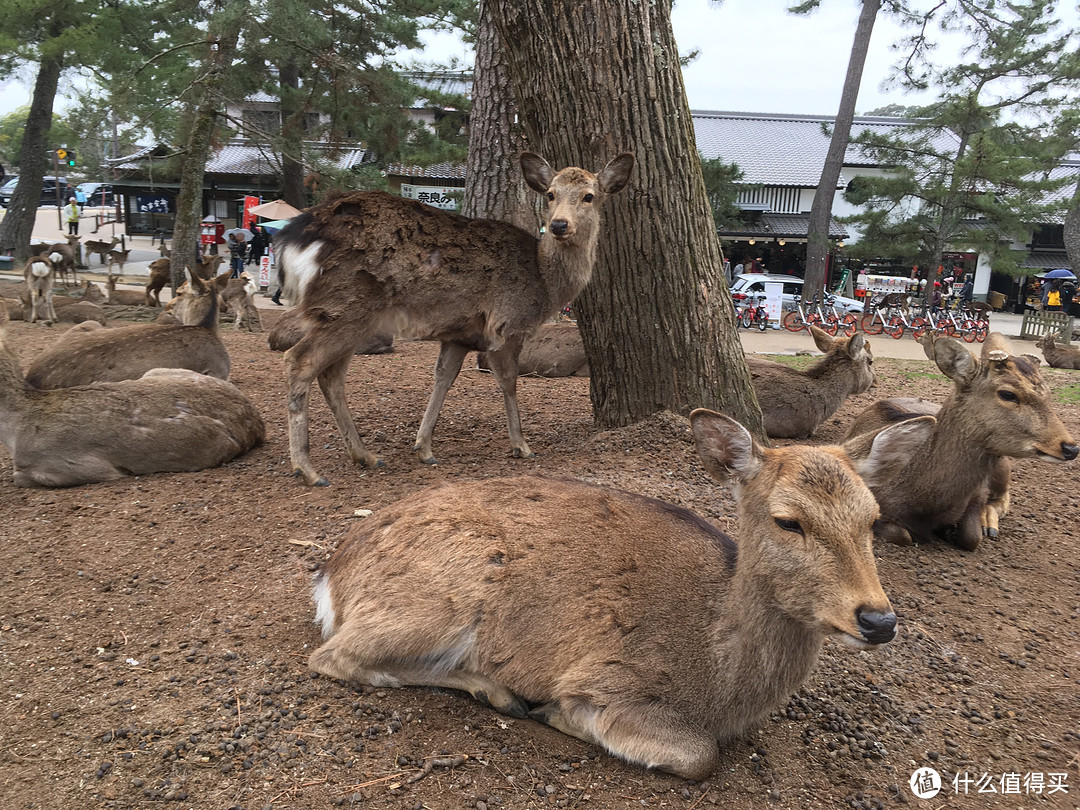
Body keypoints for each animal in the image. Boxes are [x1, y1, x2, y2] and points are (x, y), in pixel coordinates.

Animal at [276, 150, 630, 486]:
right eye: (551, 194)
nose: (558, 225)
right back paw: (307, 470)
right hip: (348, 307)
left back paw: (365, 455)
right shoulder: (506, 325)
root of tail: (293, 239)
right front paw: (522, 445)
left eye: (589, 196)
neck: (545, 282)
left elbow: (443, 378)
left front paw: (424, 448)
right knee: (300, 360)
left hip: (350, 316)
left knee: (331, 375)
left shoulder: (459, 335)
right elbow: (509, 382)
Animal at [308, 412, 898, 781]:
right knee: (334, 656)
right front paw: (555, 714)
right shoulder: (609, 676)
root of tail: (331, 578)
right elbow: (697, 755)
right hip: (442, 594)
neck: (719, 680)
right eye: (788, 520)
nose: (879, 620)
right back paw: (499, 692)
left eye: (874, 519)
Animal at [846, 330, 1075, 552]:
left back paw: (989, 525)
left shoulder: (979, 493)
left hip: (1003, 465)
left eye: (1049, 393)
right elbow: (903, 535)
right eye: (1007, 394)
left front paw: (956, 530)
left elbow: (971, 537)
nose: (1071, 447)